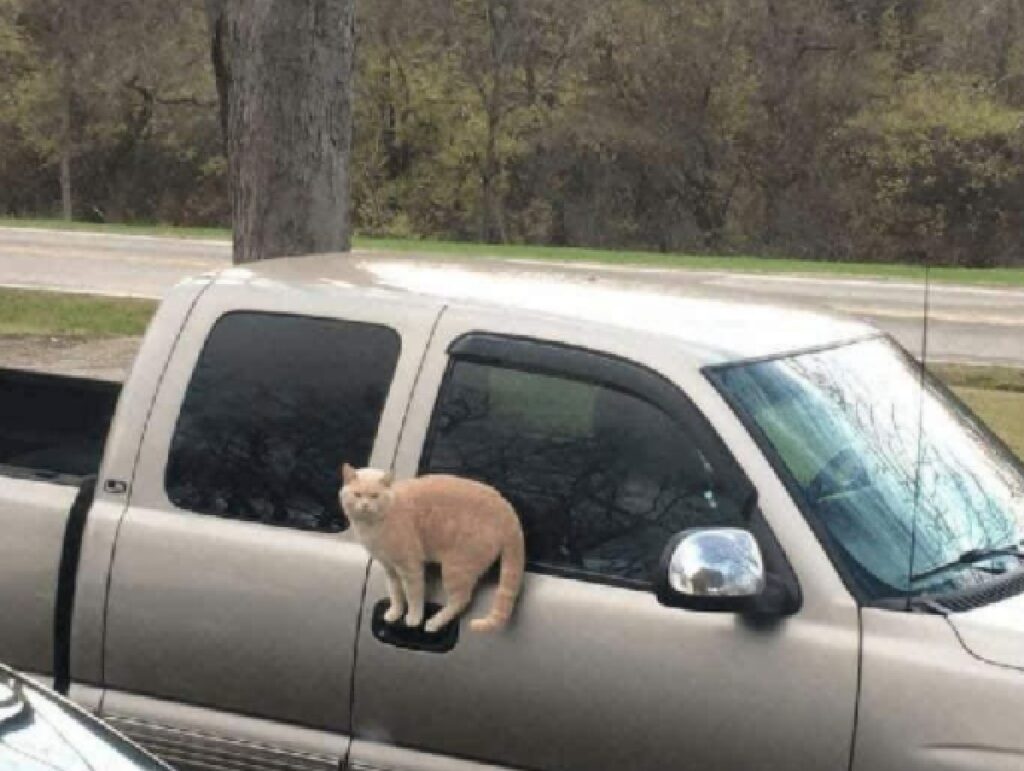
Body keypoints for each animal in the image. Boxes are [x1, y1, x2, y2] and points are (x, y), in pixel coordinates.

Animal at [342, 462, 524, 630]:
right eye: (357, 494)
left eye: (375, 496)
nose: (365, 505)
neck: (370, 527)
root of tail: (506, 507)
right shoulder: (389, 568)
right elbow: (395, 593)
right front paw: (395, 612)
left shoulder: (410, 567)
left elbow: (413, 595)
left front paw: (414, 618)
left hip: (455, 568)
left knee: (460, 600)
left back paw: (435, 622)